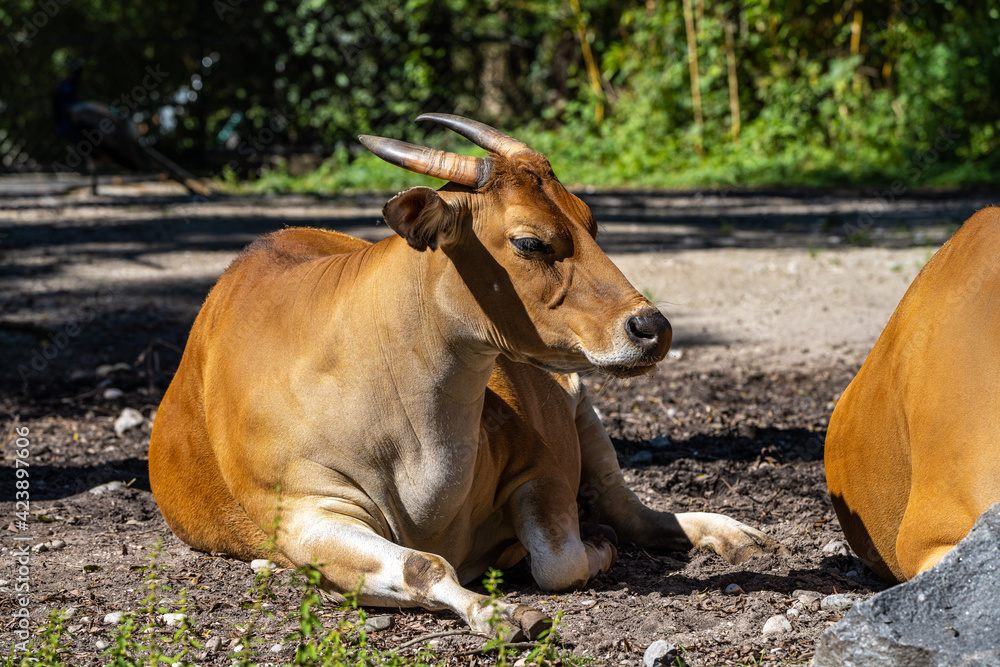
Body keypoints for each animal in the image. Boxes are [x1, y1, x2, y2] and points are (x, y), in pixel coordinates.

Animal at [149, 114, 784, 639]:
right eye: (530, 241)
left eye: (591, 220)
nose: (652, 327)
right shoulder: (305, 512)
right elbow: (421, 564)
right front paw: (499, 612)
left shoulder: (545, 462)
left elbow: (561, 561)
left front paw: (571, 555)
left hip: (582, 406)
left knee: (626, 508)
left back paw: (729, 533)